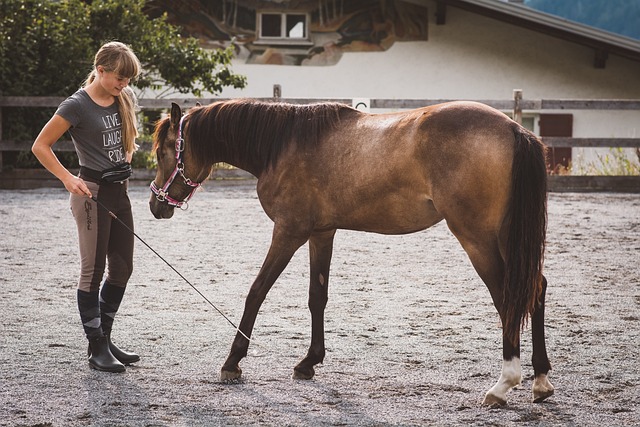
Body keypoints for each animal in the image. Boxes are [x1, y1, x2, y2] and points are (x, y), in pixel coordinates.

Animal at [148, 98, 552, 406]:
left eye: (166, 151)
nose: (156, 205)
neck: (283, 143)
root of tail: (515, 130)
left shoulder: (289, 232)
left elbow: (257, 292)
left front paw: (232, 362)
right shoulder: (321, 233)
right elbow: (317, 296)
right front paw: (308, 362)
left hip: (477, 238)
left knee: (508, 296)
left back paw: (503, 384)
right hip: (507, 237)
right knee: (536, 288)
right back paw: (541, 379)